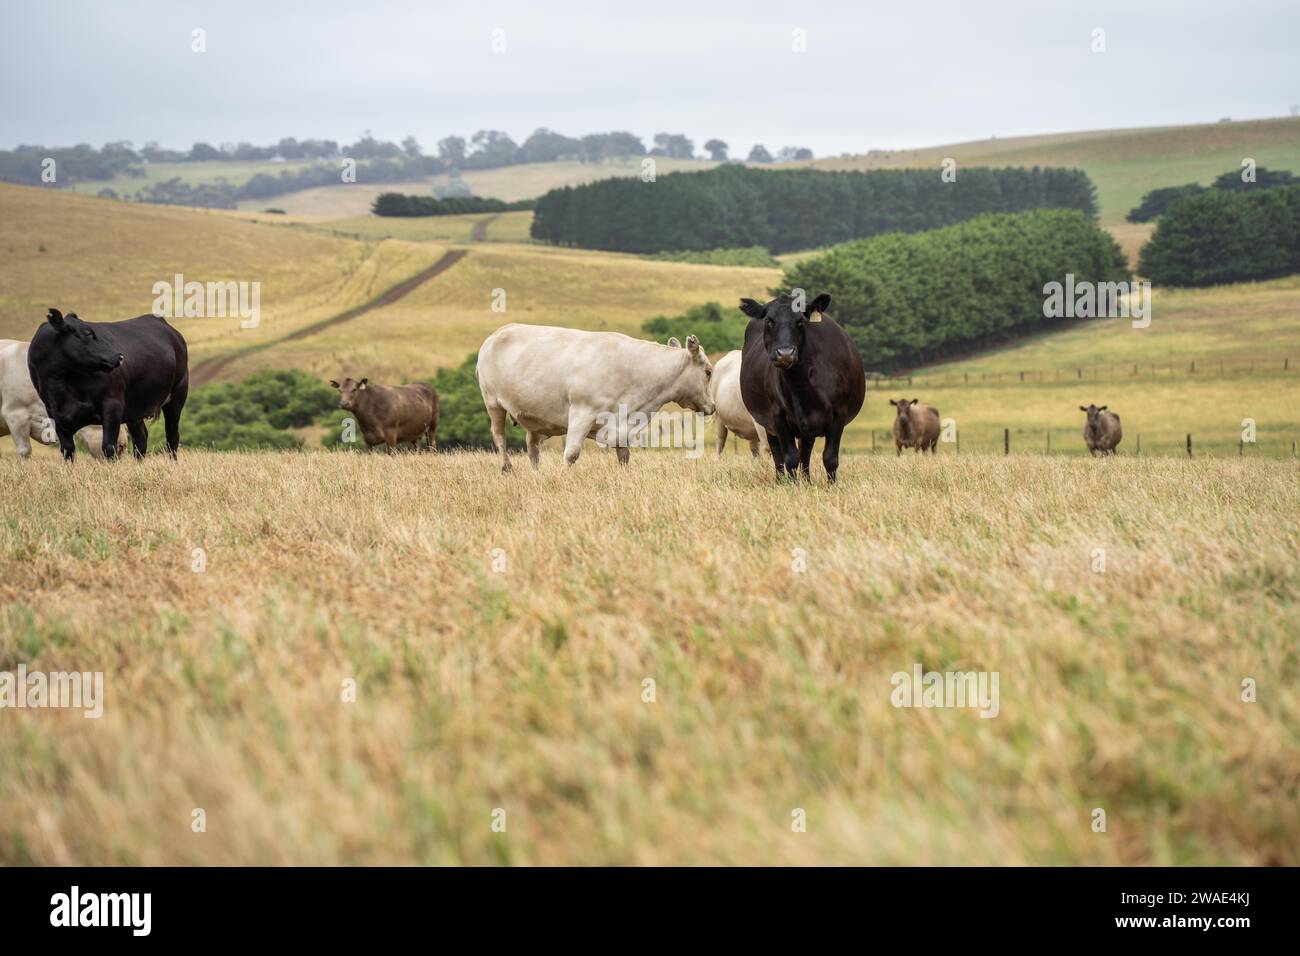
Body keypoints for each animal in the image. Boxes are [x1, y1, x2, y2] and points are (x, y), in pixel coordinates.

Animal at [27, 309, 188, 461]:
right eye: (88, 334)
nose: (119, 356)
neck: (64, 386)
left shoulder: (112, 404)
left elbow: (109, 447)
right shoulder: (55, 415)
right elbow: (68, 451)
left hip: (178, 393)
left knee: (172, 437)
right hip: (134, 409)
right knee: (141, 439)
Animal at [476, 324, 715, 471]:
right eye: (708, 372)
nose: (712, 406)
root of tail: (497, 334)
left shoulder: (621, 426)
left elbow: (624, 456)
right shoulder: (582, 413)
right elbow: (571, 453)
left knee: (532, 447)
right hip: (493, 403)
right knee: (499, 436)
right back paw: (507, 468)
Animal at [738, 292, 865, 482]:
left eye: (800, 321)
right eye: (769, 320)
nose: (785, 353)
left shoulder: (838, 414)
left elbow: (830, 457)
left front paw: (831, 485)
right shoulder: (778, 415)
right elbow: (790, 457)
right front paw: (791, 484)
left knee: (806, 451)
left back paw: (806, 480)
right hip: (767, 423)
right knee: (777, 453)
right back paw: (780, 480)